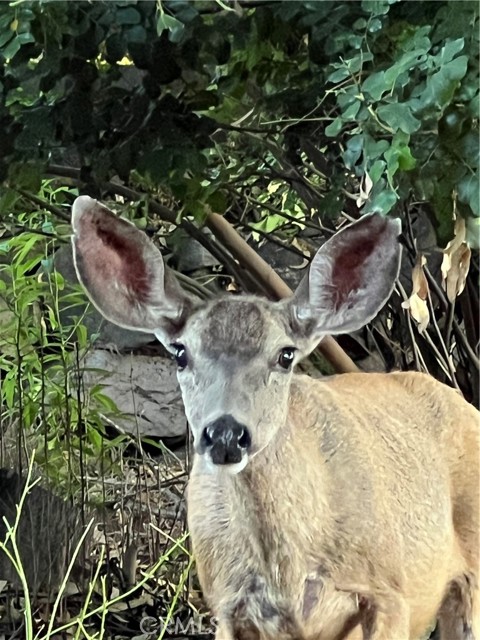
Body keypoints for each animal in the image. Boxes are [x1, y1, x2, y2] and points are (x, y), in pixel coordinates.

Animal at [72, 196, 480, 640]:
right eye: (180, 353)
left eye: (285, 355)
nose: (226, 434)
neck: (288, 573)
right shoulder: (226, 604)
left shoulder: (390, 590)